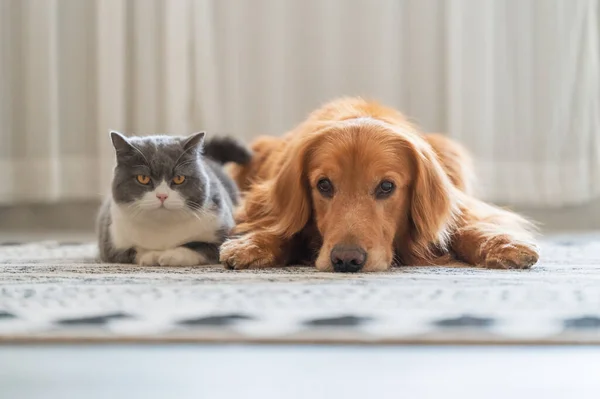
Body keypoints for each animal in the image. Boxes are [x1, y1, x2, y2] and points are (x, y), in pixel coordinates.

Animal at [96, 133, 251, 268]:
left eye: (179, 178)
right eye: (143, 178)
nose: (162, 196)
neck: (163, 226)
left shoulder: (225, 231)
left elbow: (200, 246)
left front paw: (171, 256)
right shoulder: (111, 243)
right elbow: (135, 249)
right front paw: (151, 256)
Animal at [220, 97, 540, 272]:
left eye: (386, 187)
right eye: (323, 185)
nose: (346, 260)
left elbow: (464, 228)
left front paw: (504, 245)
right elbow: (284, 231)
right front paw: (251, 245)